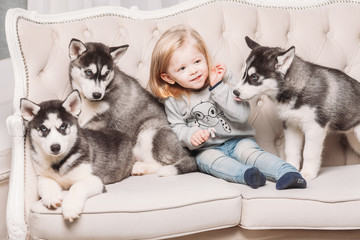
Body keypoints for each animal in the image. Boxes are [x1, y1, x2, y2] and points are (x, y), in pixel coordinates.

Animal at [20, 91, 134, 222]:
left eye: (63, 126)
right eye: (43, 128)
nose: (55, 147)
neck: (59, 162)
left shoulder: (95, 180)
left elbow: (77, 186)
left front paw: (70, 207)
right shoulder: (42, 175)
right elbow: (46, 182)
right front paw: (52, 197)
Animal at [67, 39, 197, 176]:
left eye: (106, 73)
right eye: (88, 72)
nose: (97, 95)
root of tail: (188, 153)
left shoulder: (100, 120)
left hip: (150, 130)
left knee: (162, 164)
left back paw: (140, 168)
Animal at [232, 36, 360, 179]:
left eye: (254, 77)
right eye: (243, 74)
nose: (235, 92)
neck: (298, 88)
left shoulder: (315, 127)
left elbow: (309, 153)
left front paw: (307, 173)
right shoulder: (291, 125)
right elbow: (291, 150)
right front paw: (291, 167)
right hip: (353, 139)